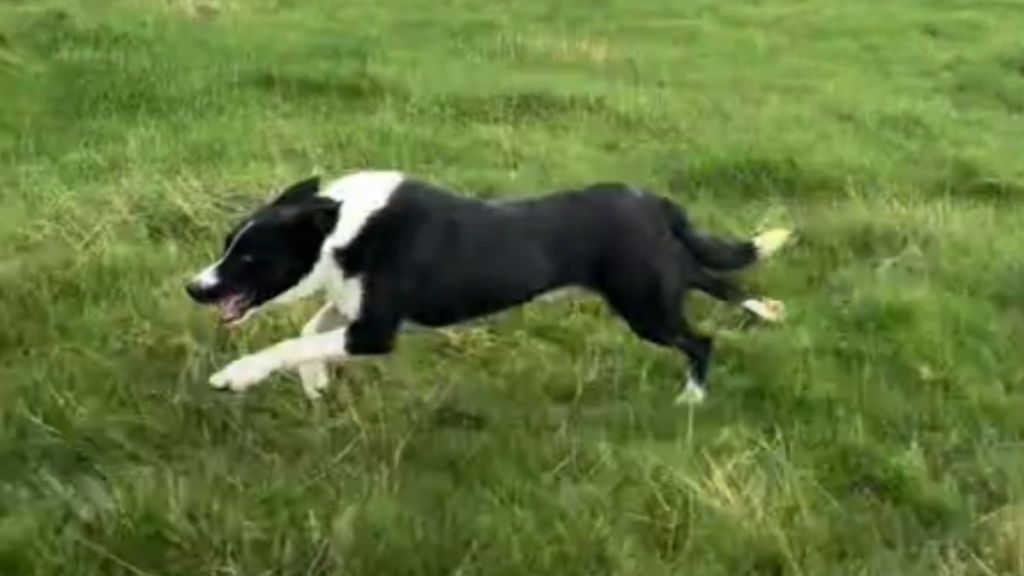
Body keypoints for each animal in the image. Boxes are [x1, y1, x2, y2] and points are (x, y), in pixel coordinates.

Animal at [186, 171, 790, 403]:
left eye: (249, 257)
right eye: (226, 244)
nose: (195, 288)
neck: (342, 225)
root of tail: (653, 202)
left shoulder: (375, 330)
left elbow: (294, 340)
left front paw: (237, 376)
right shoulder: (355, 306)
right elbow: (312, 329)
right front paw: (314, 380)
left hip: (645, 306)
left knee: (700, 340)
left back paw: (692, 397)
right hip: (662, 281)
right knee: (723, 281)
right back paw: (767, 307)